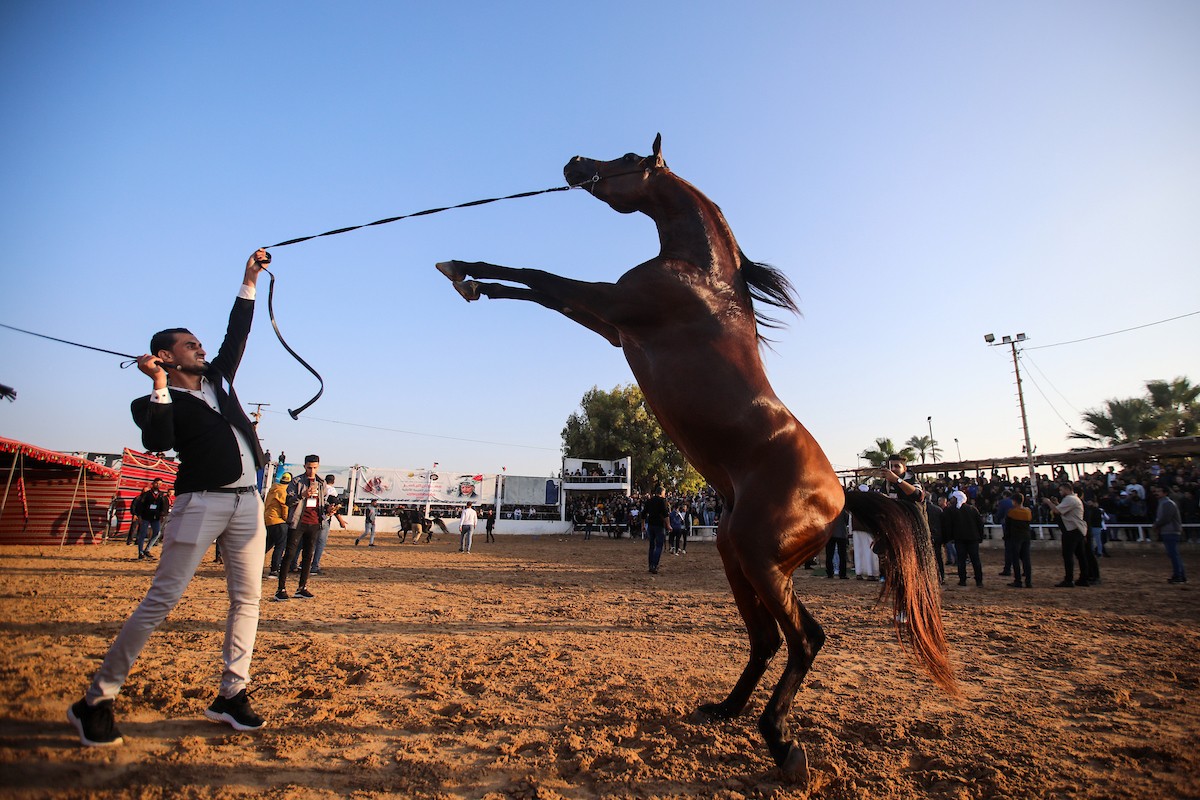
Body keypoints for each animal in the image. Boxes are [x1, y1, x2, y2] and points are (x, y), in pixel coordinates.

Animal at [436, 136, 950, 777]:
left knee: (805, 638)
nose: (575, 164)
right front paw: (467, 278)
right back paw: (726, 709)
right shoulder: (610, 324)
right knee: (767, 639)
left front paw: (464, 272)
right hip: (738, 558)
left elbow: (541, 276)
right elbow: (541, 292)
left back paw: (783, 743)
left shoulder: (616, 304)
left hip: (759, 557)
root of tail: (842, 493)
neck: (704, 277)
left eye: (628, 157)